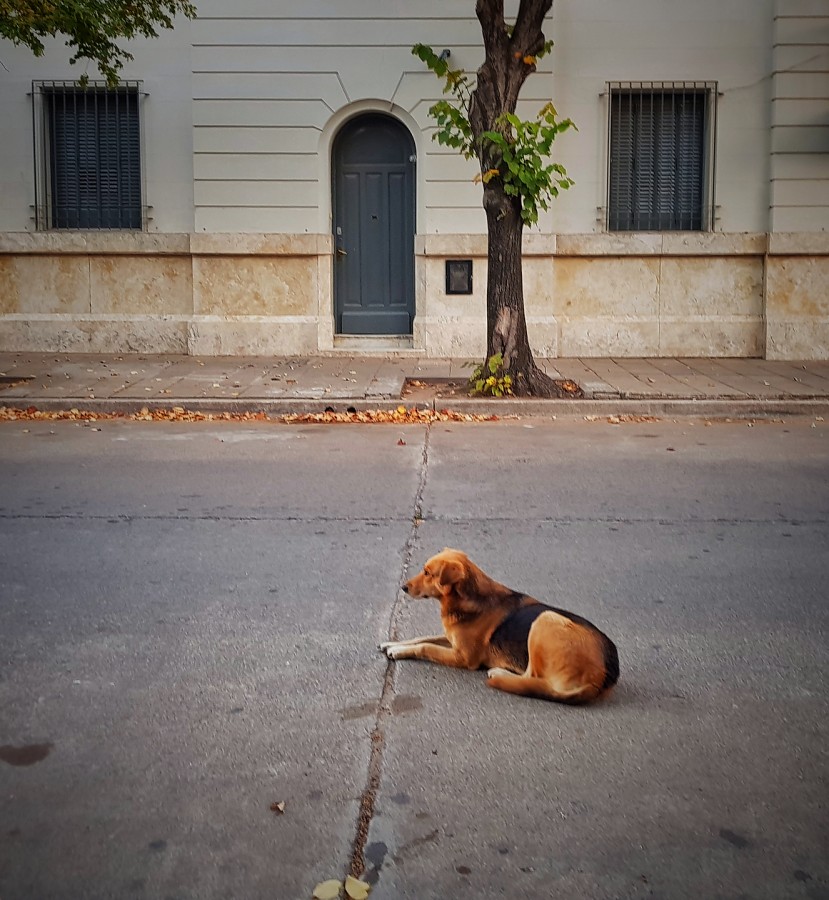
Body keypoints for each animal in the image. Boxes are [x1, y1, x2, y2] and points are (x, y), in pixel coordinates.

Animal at [378, 548, 616, 704]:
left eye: (428, 573)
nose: (403, 587)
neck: (466, 597)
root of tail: (602, 676)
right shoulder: (451, 639)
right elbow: (422, 637)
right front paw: (392, 643)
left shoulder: (463, 657)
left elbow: (425, 647)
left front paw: (398, 651)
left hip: (544, 619)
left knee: (532, 677)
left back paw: (500, 673)